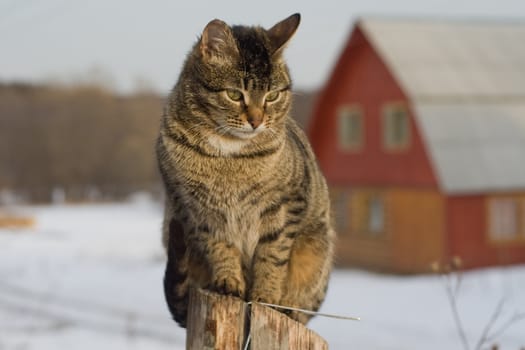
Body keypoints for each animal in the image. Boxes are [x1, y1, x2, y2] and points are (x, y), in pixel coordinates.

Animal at [157, 12, 336, 326]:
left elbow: (272, 255)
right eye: (234, 94)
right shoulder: (196, 210)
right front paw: (230, 282)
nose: (257, 120)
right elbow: (220, 247)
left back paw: (288, 307)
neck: (229, 156)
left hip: (317, 250)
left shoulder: (286, 206)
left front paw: (265, 295)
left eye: (273, 96)